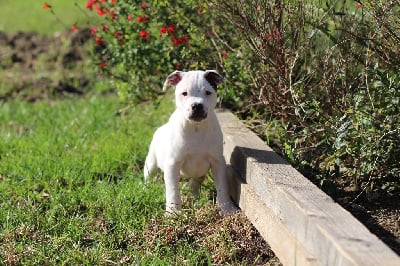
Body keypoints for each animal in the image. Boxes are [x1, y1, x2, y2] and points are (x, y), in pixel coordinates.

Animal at [144, 70, 238, 214]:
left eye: (208, 92)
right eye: (184, 93)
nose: (197, 106)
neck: (196, 128)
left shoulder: (218, 162)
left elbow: (222, 187)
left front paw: (227, 208)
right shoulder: (172, 164)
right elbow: (172, 190)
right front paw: (172, 212)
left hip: (198, 174)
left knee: (194, 184)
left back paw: (196, 198)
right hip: (151, 163)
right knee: (148, 177)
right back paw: (145, 189)